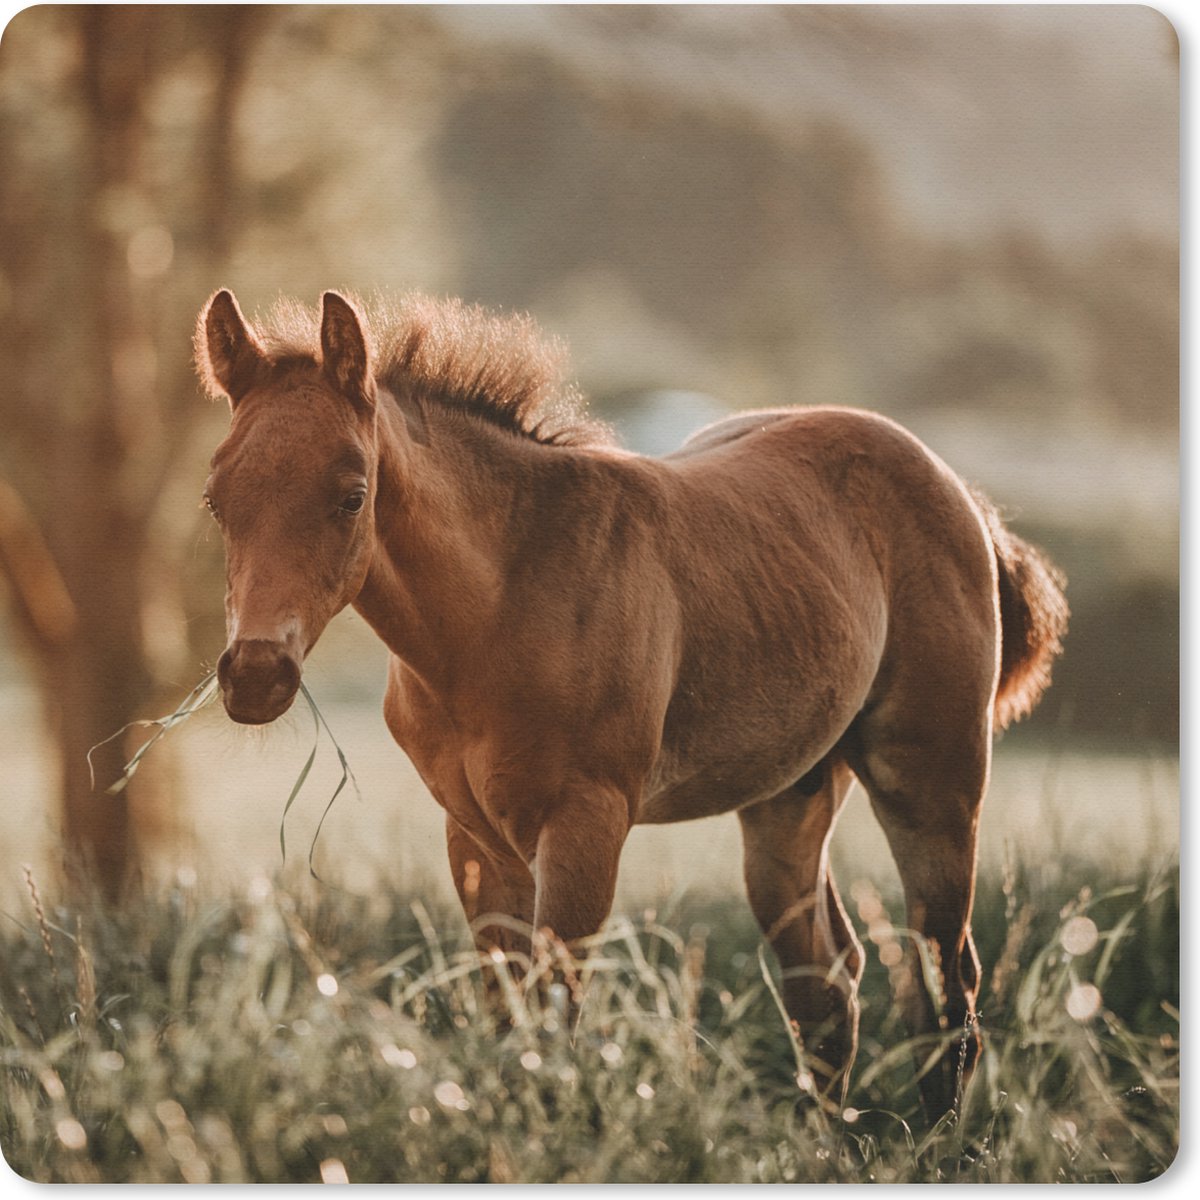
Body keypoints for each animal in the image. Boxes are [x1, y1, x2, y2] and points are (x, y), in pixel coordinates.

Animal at [195, 288, 1067, 1115]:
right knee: (827, 991)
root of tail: (960, 492)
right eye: (215, 500)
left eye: (352, 495)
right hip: (790, 795)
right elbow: (509, 1021)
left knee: (944, 986)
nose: (255, 676)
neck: (505, 599)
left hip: (932, 783)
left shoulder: (587, 821)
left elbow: (554, 1022)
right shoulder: (476, 838)